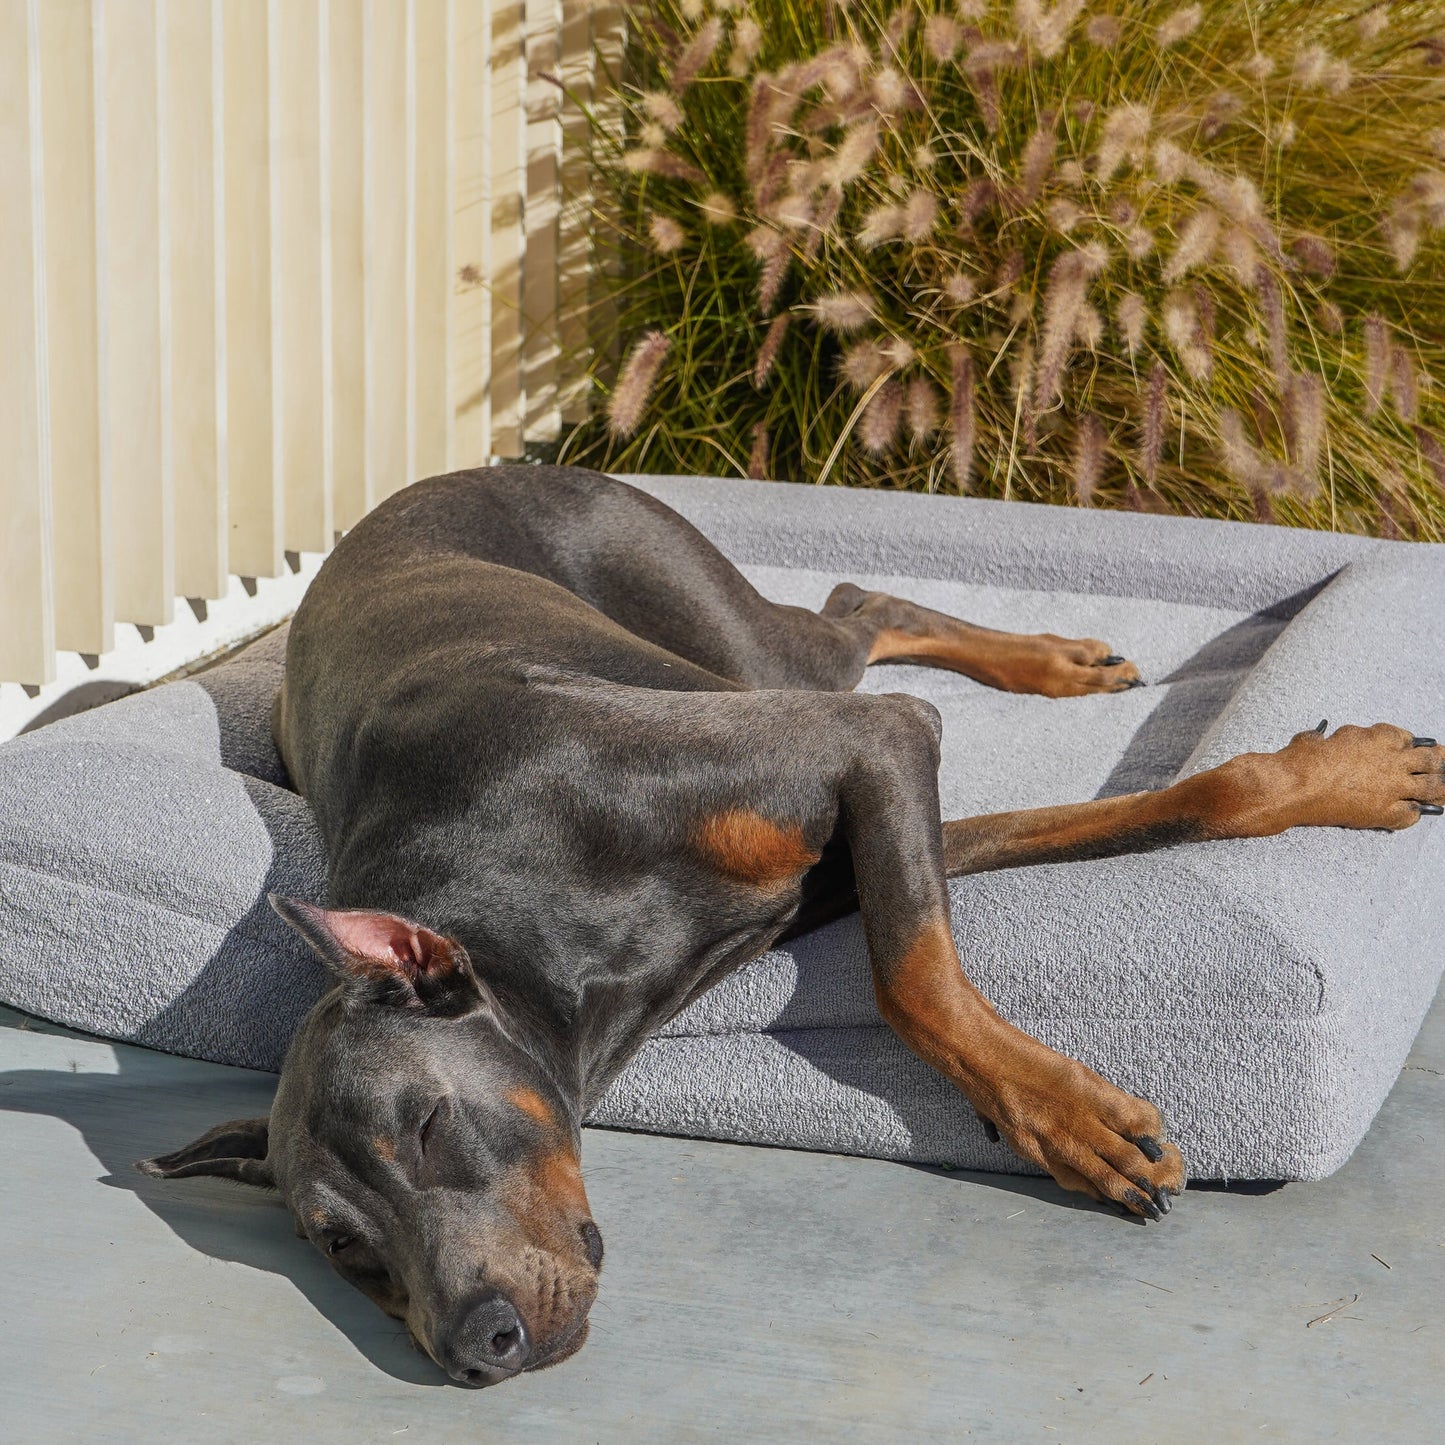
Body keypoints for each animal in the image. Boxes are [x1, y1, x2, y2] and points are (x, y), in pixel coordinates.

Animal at [140, 465, 1445, 1387]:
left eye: (424, 1122)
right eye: (344, 1246)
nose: (476, 1342)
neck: (536, 898)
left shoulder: (862, 747)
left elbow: (918, 970)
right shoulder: (872, 831)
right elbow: (1002, 898)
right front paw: (1070, 1121)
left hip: (734, 636)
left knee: (853, 606)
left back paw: (1056, 654)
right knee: (858, 608)